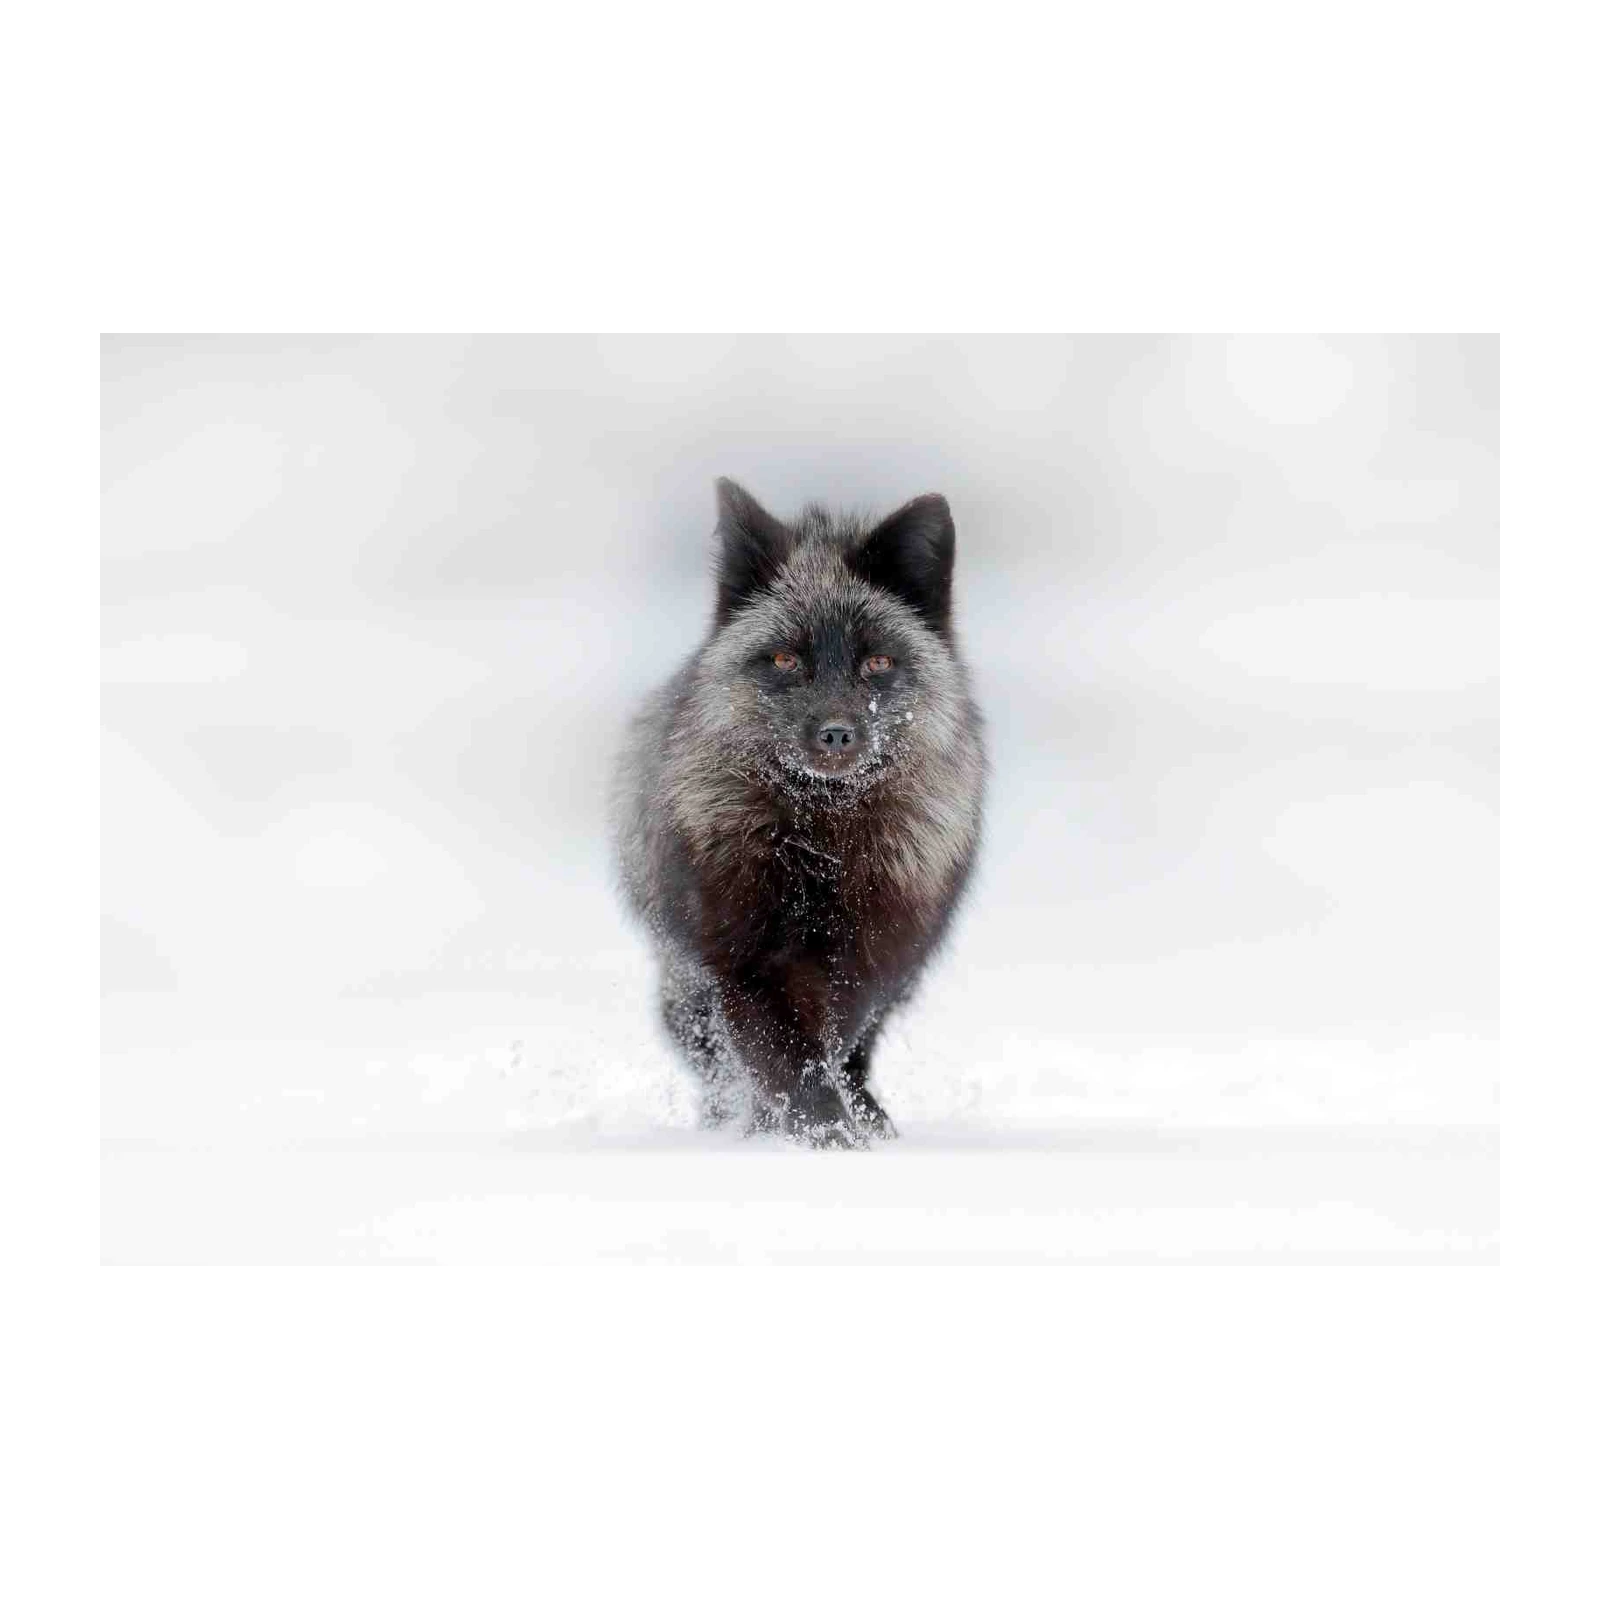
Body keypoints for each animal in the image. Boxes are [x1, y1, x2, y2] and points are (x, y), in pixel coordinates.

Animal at [612, 479, 986, 1146]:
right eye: (786, 659)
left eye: (877, 662)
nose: (836, 733)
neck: (823, 841)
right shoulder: (744, 960)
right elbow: (788, 1060)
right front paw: (821, 1134)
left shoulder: (872, 958)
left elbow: (834, 1048)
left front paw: (846, 1128)